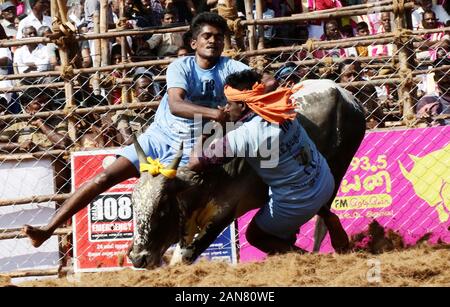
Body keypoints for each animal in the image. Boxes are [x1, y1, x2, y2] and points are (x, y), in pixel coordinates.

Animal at [125, 80, 366, 270]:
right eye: (134, 205)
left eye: (163, 205)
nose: (138, 258)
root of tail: (342, 92)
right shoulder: (188, 222)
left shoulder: (224, 212)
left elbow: (187, 256)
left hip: (338, 169)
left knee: (322, 223)